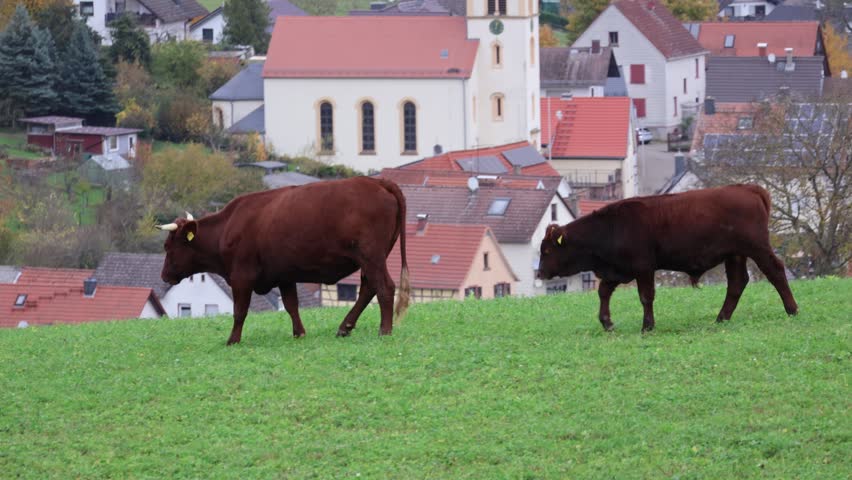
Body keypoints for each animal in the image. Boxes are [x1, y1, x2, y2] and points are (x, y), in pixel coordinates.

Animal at [157, 177, 411, 345]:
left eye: (168, 246)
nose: (164, 276)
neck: (227, 227)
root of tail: (377, 181)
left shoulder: (242, 276)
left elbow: (240, 311)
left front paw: (232, 340)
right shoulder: (284, 275)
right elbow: (291, 305)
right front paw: (299, 333)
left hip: (371, 256)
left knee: (384, 288)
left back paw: (384, 331)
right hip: (371, 258)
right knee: (368, 288)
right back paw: (345, 327)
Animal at [538, 184, 798, 332]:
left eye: (547, 251)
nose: (539, 273)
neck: (611, 226)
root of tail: (749, 188)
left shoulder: (643, 267)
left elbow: (646, 297)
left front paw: (647, 326)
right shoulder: (617, 270)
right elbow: (603, 292)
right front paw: (607, 322)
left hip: (757, 247)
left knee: (775, 271)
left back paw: (792, 309)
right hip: (735, 254)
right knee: (737, 283)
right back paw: (721, 318)